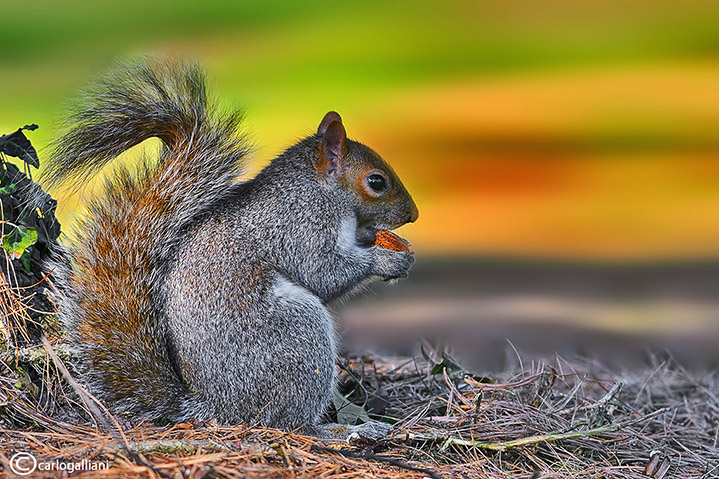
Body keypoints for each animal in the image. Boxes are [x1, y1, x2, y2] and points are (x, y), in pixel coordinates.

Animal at [42, 60, 420, 432]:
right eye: (376, 182)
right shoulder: (299, 226)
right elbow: (322, 272)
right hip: (298, 336)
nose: (413, 215)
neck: (318, 189)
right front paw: (385, 260)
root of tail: (212, 406)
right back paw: (343, 429)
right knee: (289, 422)